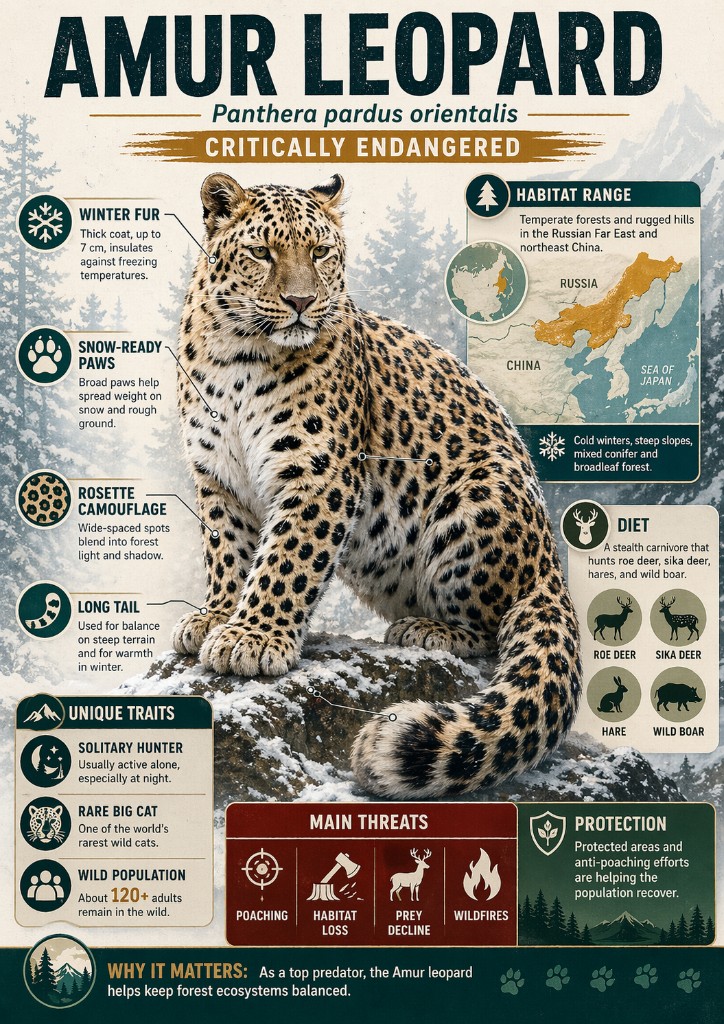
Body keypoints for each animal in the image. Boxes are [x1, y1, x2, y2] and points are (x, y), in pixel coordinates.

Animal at [171, 171, 581, 798]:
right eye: (262, 253)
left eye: (319, 252)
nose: (301, 302)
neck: (240, 354)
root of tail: (552, 567)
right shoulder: (217, 476)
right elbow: (228, 552)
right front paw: (218, 617)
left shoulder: (319, 472)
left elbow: (286, 559)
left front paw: (253, 638)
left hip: (477, 497)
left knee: (492, 629)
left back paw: (427, 631)